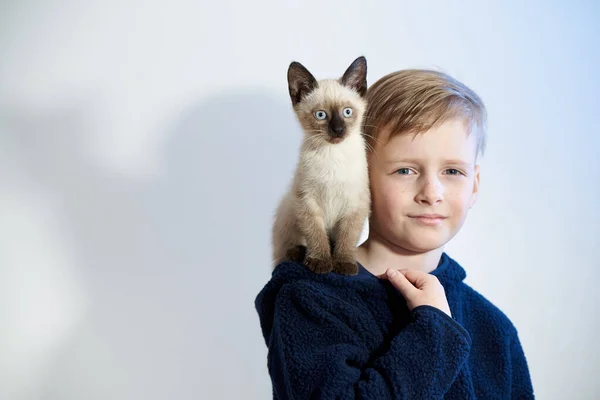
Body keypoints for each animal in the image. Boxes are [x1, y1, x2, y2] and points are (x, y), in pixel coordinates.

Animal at [272, 55, 370, 276]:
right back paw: (297, 253)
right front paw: (320, 262)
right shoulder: (307, 201)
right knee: (285, 251)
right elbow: (316, 235)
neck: (333, 156)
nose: (338, 130)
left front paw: (343, 264)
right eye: (321, 115)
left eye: (347, 112)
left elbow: (346, 239)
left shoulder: (355, 204)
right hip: (287, 212)